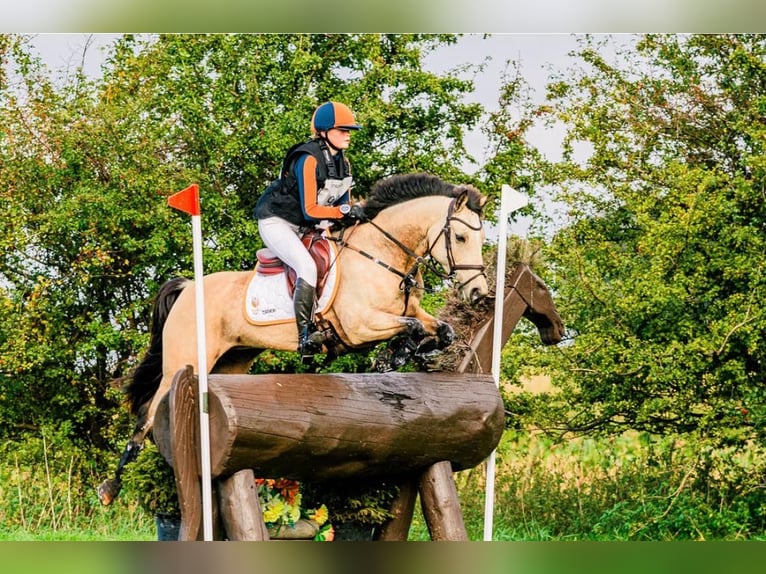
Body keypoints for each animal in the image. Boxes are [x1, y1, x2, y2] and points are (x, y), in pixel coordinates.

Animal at [99, 171, 488, 504]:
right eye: (461, 238)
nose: (480, 293)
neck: (382, 255)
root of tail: (187, 288)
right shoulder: (359, 325)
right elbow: (410, 327)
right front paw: (393, 356)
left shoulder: (407, 313)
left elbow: (440, 330)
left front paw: (413, 353)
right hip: (186, 359)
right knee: (149, 414)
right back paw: (110, 488)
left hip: (231, 363)